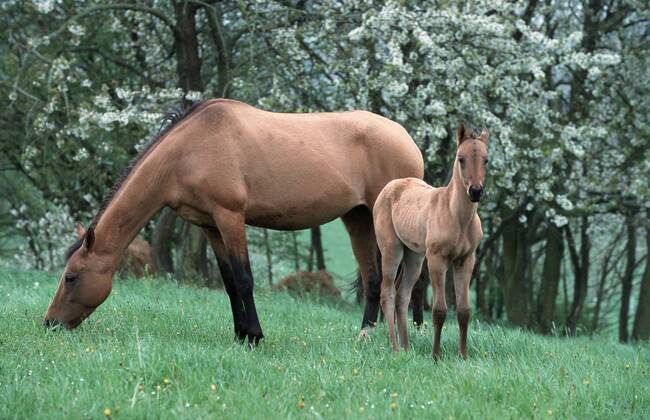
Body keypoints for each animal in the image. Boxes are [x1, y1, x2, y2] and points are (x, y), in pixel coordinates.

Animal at [43, 99, 424, 345]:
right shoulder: (210, 225)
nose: (49, 324)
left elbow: (243, 278)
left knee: (413, 279)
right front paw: (240, 333)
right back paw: (366, 334)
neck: (188, 151)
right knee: (375, 278)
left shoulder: (230, 216)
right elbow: (228, 282)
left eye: (70, 276)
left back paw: (415, 333)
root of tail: (405, 137)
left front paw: (254, 336)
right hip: (356, 218)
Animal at [373, 122, 488, 358]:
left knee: (402, 295)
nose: (475, 191)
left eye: (486, 160)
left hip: (414, 257)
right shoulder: (437, 259)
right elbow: (439, 310)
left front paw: (463, 356)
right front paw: (436, 356)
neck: (458, 218)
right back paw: (395, 347)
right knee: (387, 293)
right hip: (392, 250)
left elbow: (464, 310)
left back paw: (407, 348)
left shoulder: (466, 260)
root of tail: (389, 187)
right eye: (461, 159)